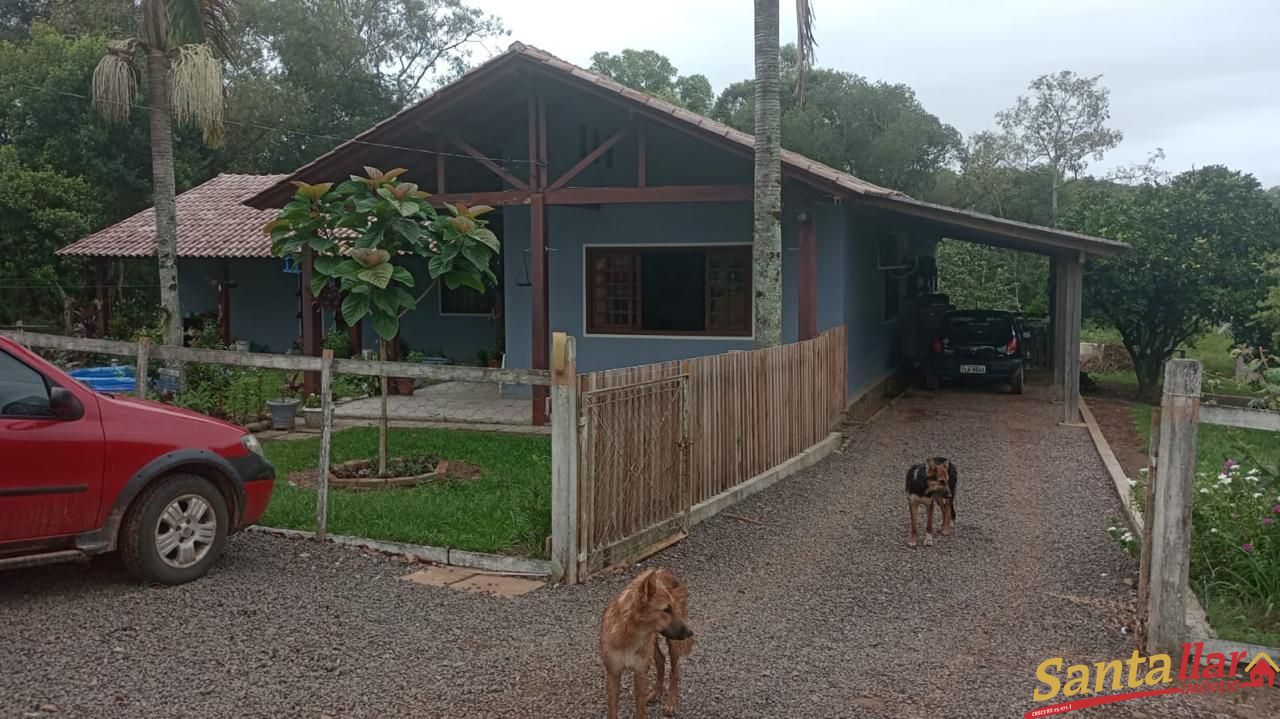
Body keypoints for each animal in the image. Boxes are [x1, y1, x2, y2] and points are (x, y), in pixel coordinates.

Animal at [601, 565, 696, 716]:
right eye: (666, 609)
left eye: (672, 608)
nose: (690, 632)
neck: (628, 636)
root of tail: (663, 571)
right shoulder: (613, 673)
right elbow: (613, 711)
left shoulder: (640, 673)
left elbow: (640, 711)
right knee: (661, 660)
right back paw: (657, 691)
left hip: (672, 642)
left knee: (675, 671)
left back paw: (671, 703)